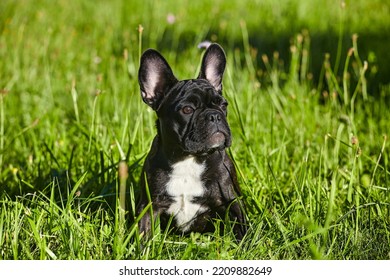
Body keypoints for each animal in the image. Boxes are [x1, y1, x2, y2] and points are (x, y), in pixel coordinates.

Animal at [137, 42, 247, 240]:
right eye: (187, 110)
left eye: (223, 105)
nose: (214, 116)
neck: (188, 159)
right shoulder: (149, 205)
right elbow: (144, 232)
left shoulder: (231, 201)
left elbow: (242, 228)